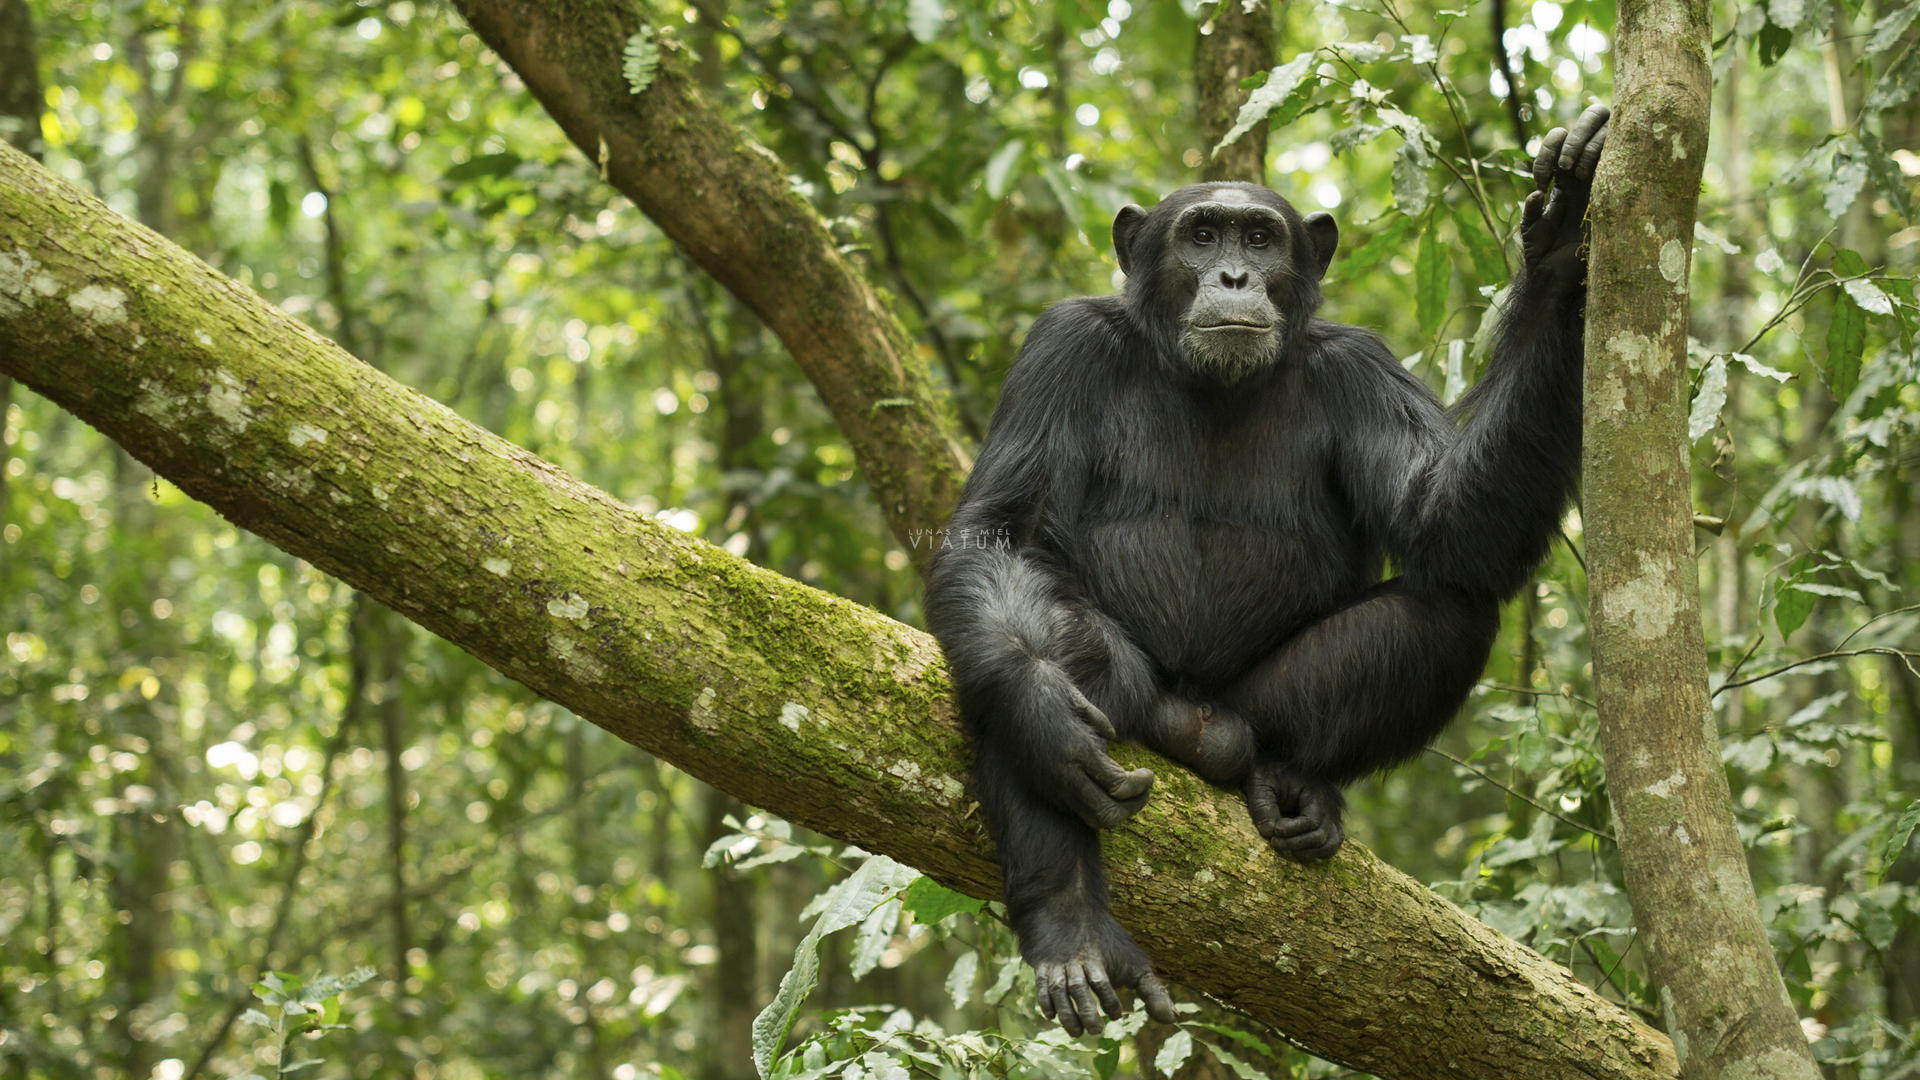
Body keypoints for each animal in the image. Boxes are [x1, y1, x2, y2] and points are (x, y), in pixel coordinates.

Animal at [921, 105, 1612, 1030]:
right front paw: (1042, 714)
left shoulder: (1360, 366)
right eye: (1202, 234)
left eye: (1259, 236)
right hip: (1141, 709)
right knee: (1049, 645)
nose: (1235, 275)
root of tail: (1198, 721)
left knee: (1450, 608)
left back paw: (1294, 779)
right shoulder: (1061, 346)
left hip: (1254, 710)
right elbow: (999, 534)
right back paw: (1069, 921)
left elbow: (1446, 525)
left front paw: (1563, 241)